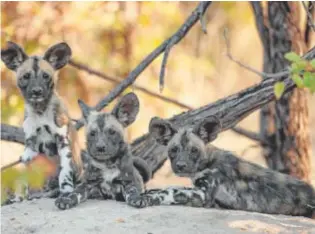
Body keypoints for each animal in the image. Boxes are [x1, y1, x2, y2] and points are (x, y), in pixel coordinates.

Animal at [0, 41, 82, 202]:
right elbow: (24, 178)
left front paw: (66, 191)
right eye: (26, 76)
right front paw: (20, 197)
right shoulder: (30, 151)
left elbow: (65, 172)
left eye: (45, 76)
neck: (40, 111)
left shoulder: (63, 143)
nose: (37, 91)